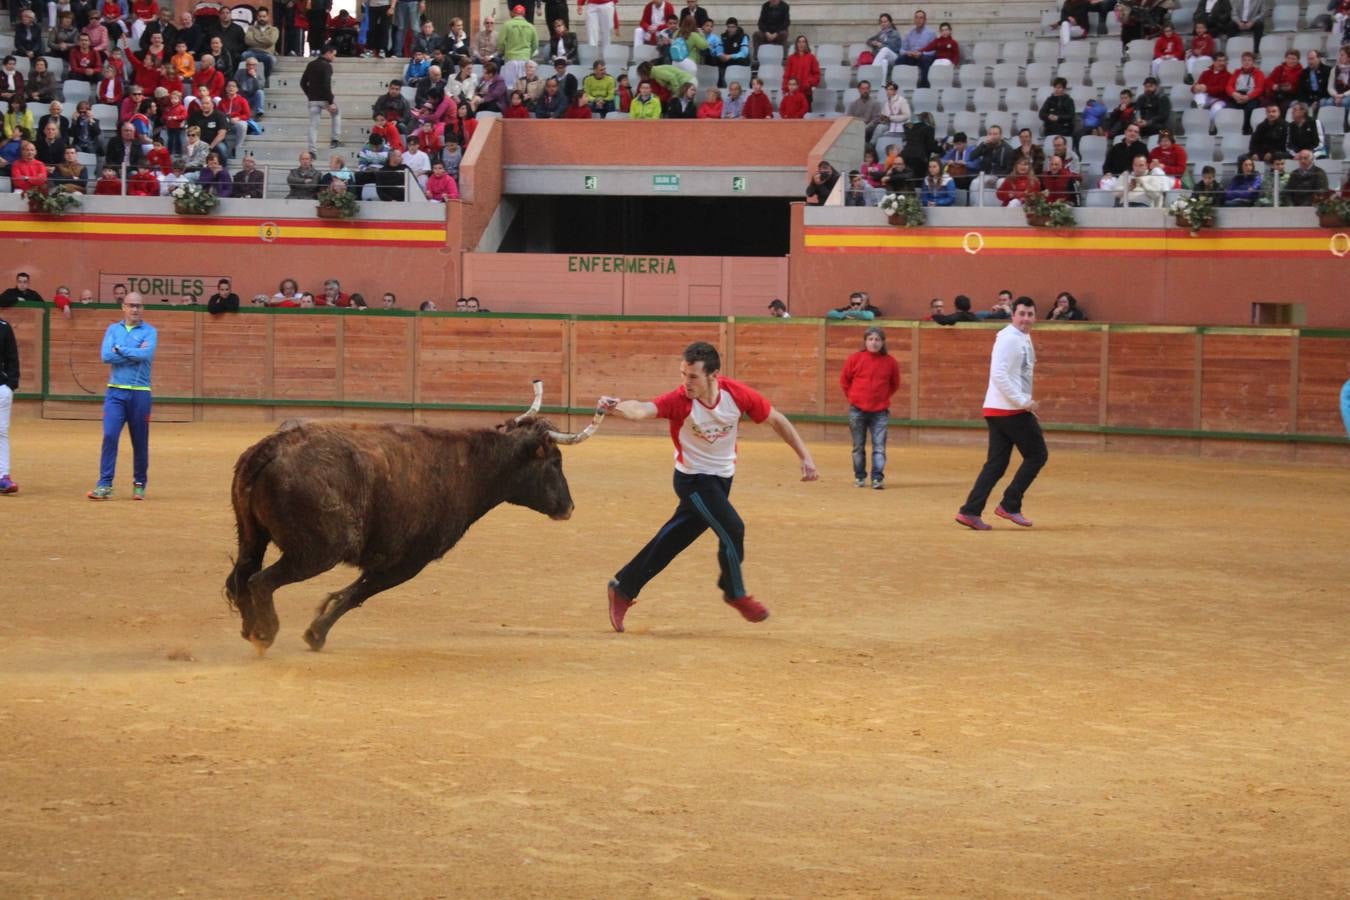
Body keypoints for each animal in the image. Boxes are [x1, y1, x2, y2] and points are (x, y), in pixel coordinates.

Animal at [226, 383, 612, 655]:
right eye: (555, 462)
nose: (569, 507)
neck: (471, 466)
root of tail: (273, 447)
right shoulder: (410, 559)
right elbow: (359, 593)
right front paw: (315, 633)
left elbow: (354, 591)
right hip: (316, 551)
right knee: (260, 581)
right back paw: (266, 633)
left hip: (252, 535)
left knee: (241, 576)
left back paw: (249, 629)